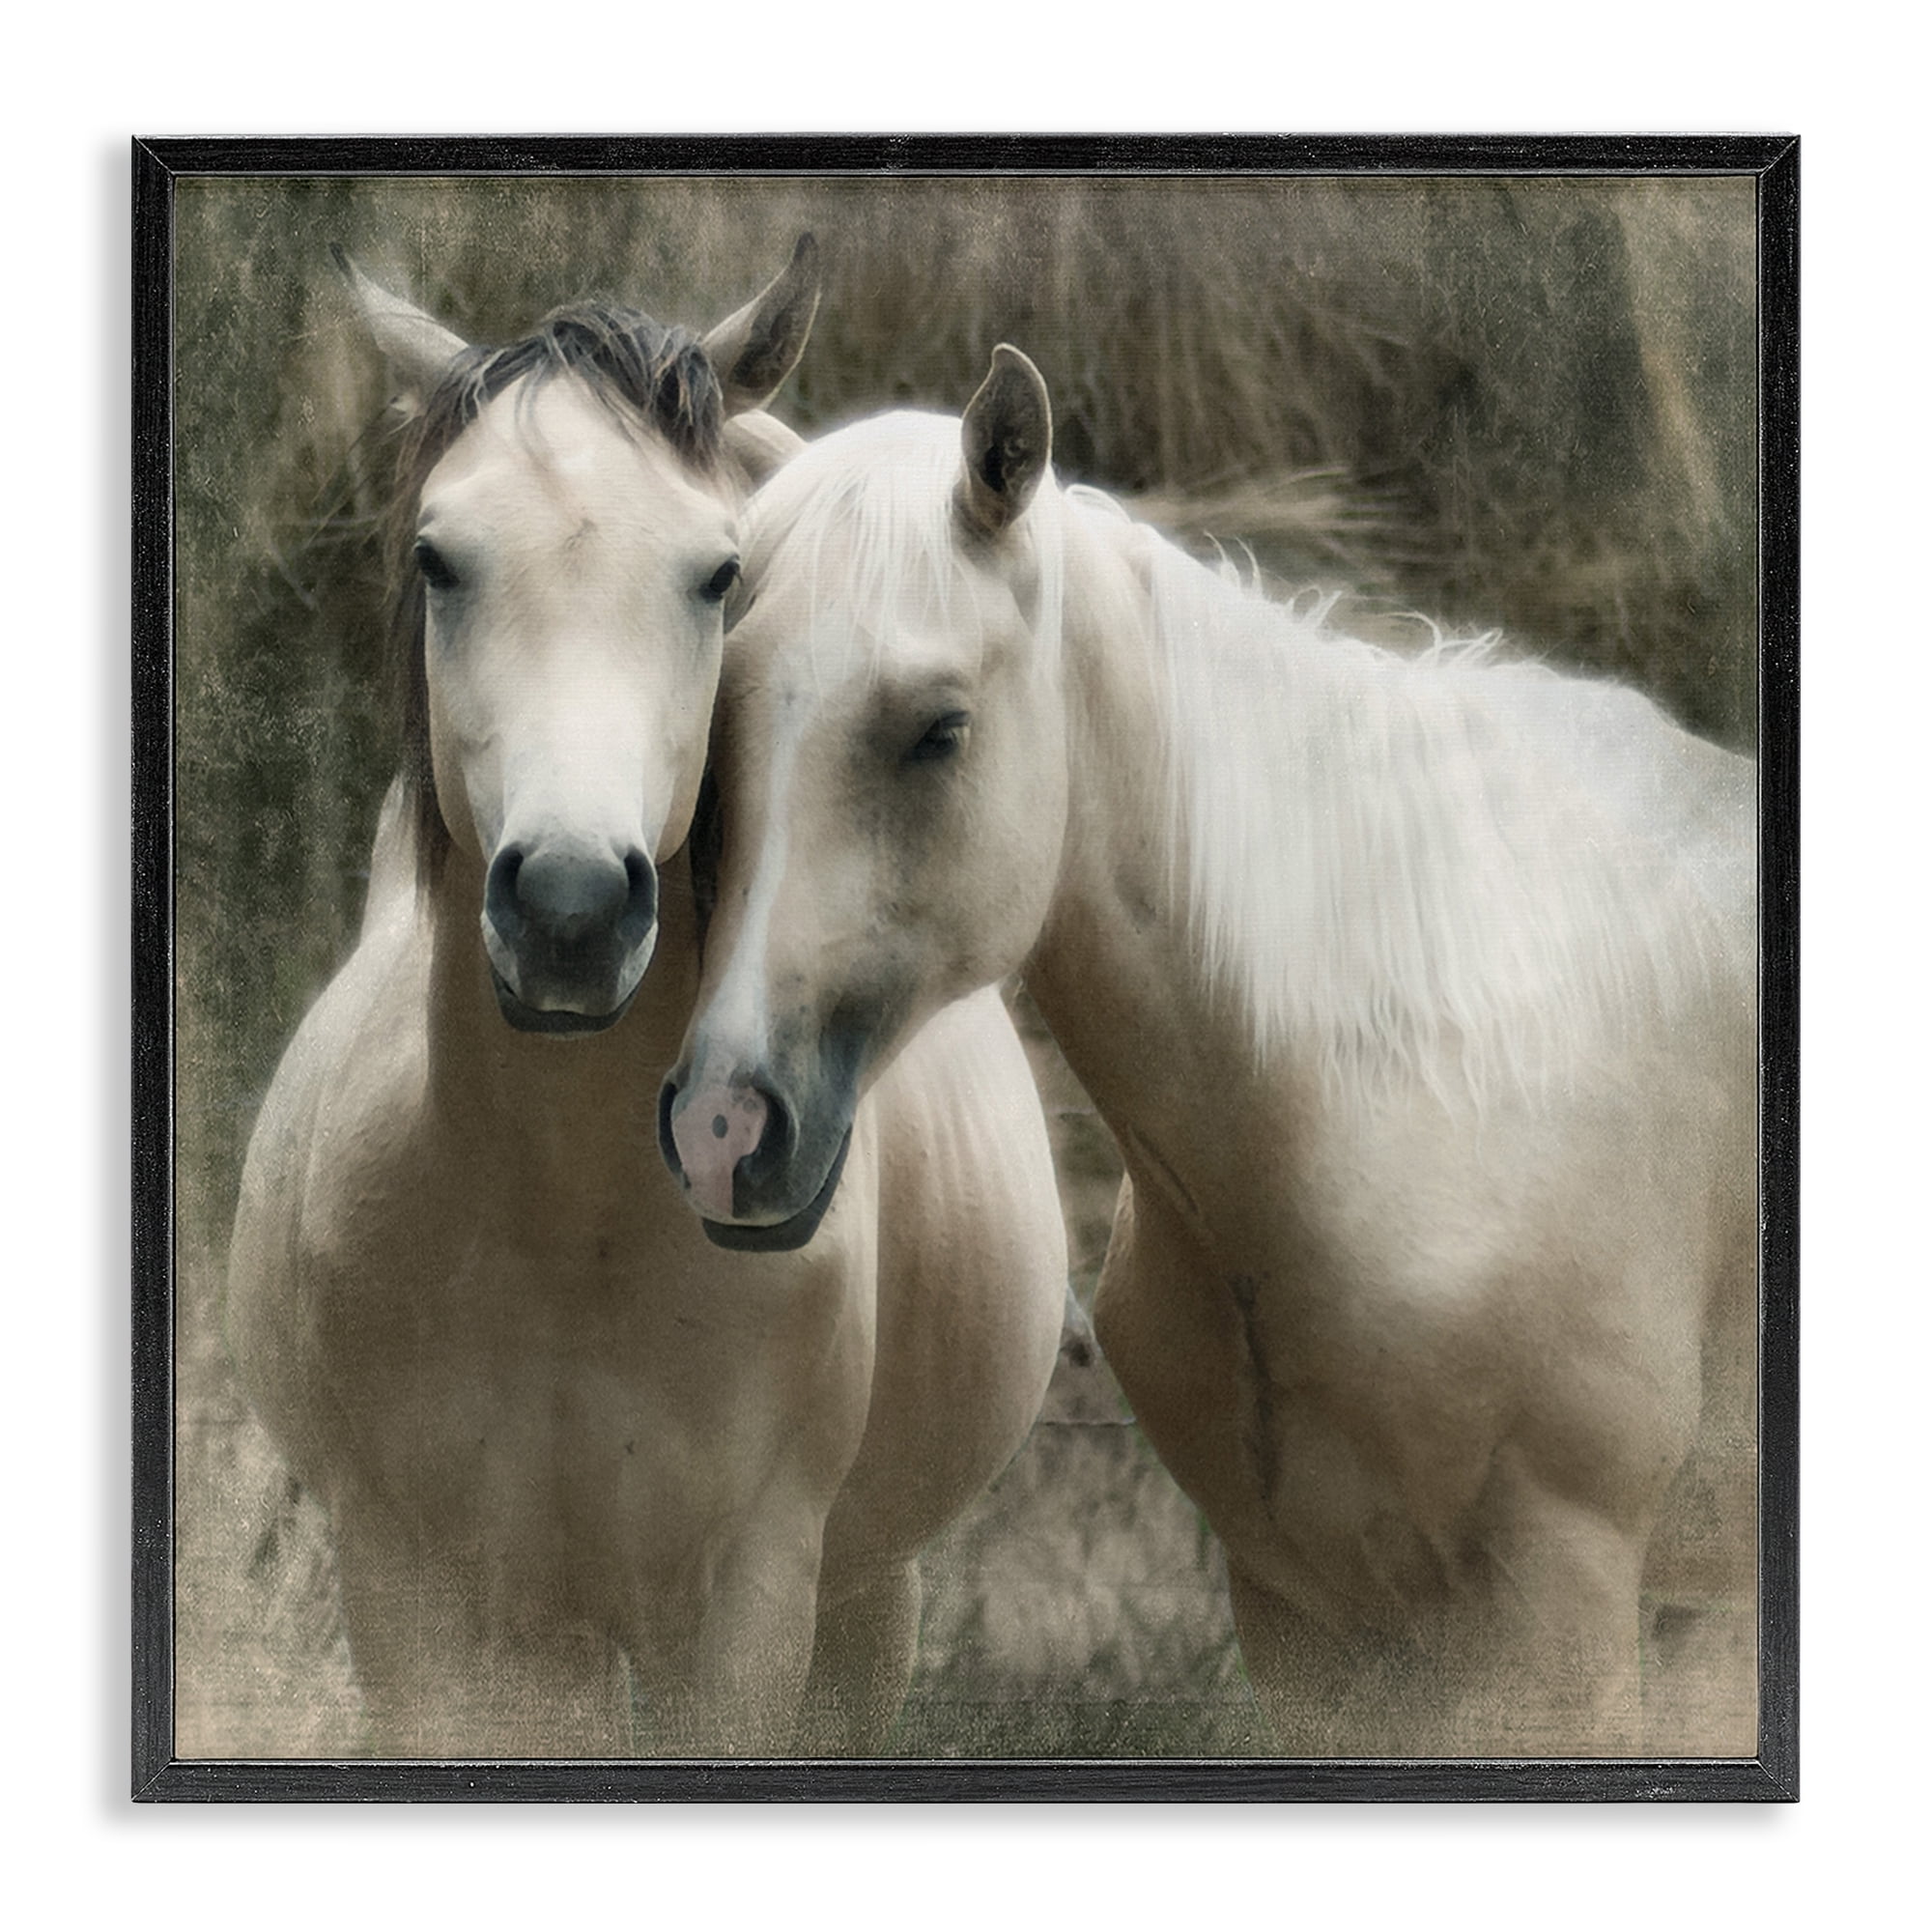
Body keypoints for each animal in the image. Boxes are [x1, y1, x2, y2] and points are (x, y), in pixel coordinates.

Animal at [225, 264, 1067, 1758]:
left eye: (717, 573)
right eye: (437, 559)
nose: (569, 905)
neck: (567, 1230)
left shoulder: (741, 1617)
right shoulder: (423, 1610)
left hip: (866, 1598)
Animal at [659, 346, 1759, 1757]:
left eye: (938, 728)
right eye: (716, 734)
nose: (722, 1129)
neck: (1417, 1087)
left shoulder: (1555, 1623)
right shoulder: (1311, 1629)